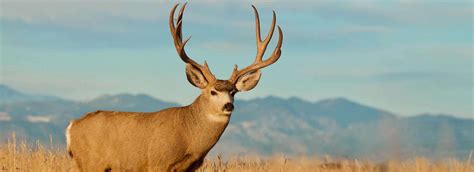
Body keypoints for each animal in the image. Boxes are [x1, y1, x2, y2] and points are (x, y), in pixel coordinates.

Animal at [65, 3, 284, 172]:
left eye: (233, 92)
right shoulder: (158, 162)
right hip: (91, 162)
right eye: (213, 91)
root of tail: (71, 127)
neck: (188, 135)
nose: (228, 106)